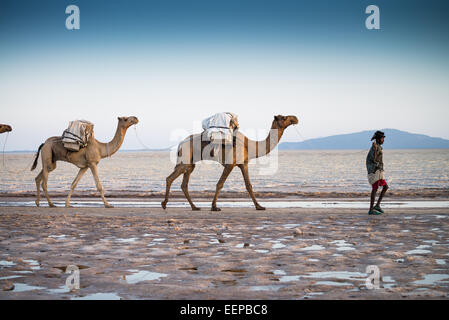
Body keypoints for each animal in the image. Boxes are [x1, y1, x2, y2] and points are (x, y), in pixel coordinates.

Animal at [161, 114, 298, 211]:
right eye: (284, 117)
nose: (295, 118)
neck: (249, 146)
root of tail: (180, 144)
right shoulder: (230, 164)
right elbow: (220, 184)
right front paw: (214, 207)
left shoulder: (244, 163)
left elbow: (249, 185)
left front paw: (259, 206)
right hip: (185, 159)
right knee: (170, 178)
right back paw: (164, 204)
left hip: (190, 163)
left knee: (184, 184)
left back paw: (194, 207)